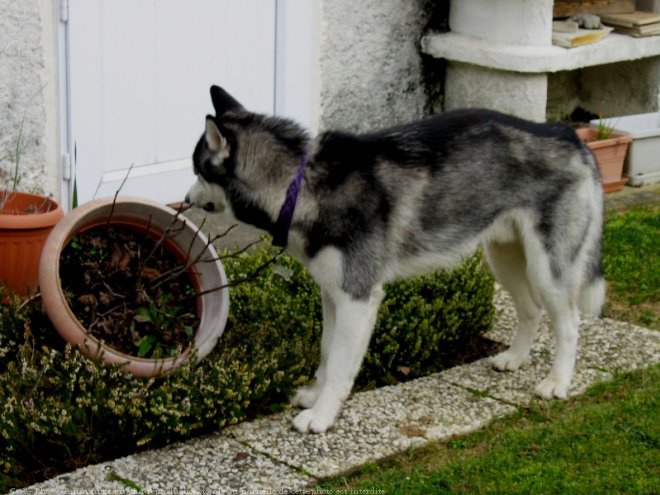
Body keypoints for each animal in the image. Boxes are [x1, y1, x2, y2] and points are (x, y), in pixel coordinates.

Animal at [184, 85, 604, 434]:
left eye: (197, 171)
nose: (185, 198)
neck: (300, 185)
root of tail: (568, 135)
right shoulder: (333, 294)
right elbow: (327, 352)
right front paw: (316, 396)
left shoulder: (358, 298)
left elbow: (340, 364)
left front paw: (322, 415)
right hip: (505, 258)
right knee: (531, 309)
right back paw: (515, 358)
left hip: (548, 268)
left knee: (569, 325)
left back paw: (557, 382)